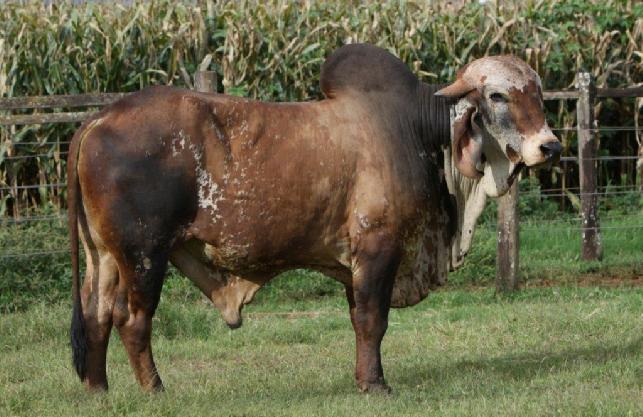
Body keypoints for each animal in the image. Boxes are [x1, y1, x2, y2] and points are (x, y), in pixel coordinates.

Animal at [64, 44, 560, 392]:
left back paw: (99, 390)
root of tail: (99, 119)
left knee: (96, 315)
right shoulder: (379, 247)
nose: (550, 146)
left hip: (103, 256)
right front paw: (375, 385)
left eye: (538, 94)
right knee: (133, 320)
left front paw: (365, 378)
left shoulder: (354, 262)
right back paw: (154, 390)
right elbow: (373, 320)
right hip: (143, 254)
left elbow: (360, 320)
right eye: (497, 95)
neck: (418, 131)